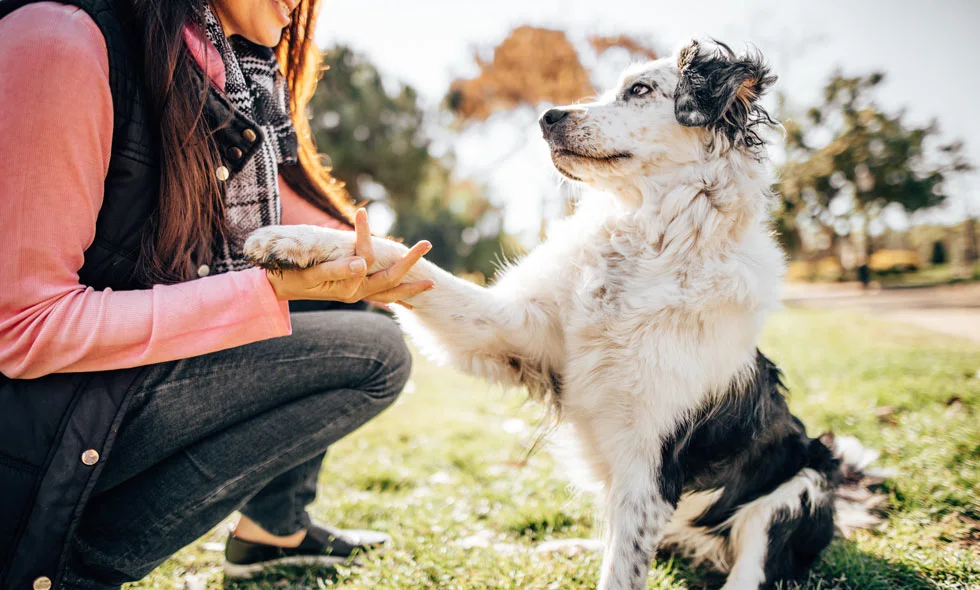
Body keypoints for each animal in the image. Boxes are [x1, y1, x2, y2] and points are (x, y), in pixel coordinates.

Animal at [243, 41, 872, 590]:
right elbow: (405, 258)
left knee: (749, 568)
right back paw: (559, 544)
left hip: (800, 488)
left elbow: (622, 573)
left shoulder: (649, 466)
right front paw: (297, 241)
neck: (647, 240)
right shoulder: (516, 334)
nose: (547, 116)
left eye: (640, 90)